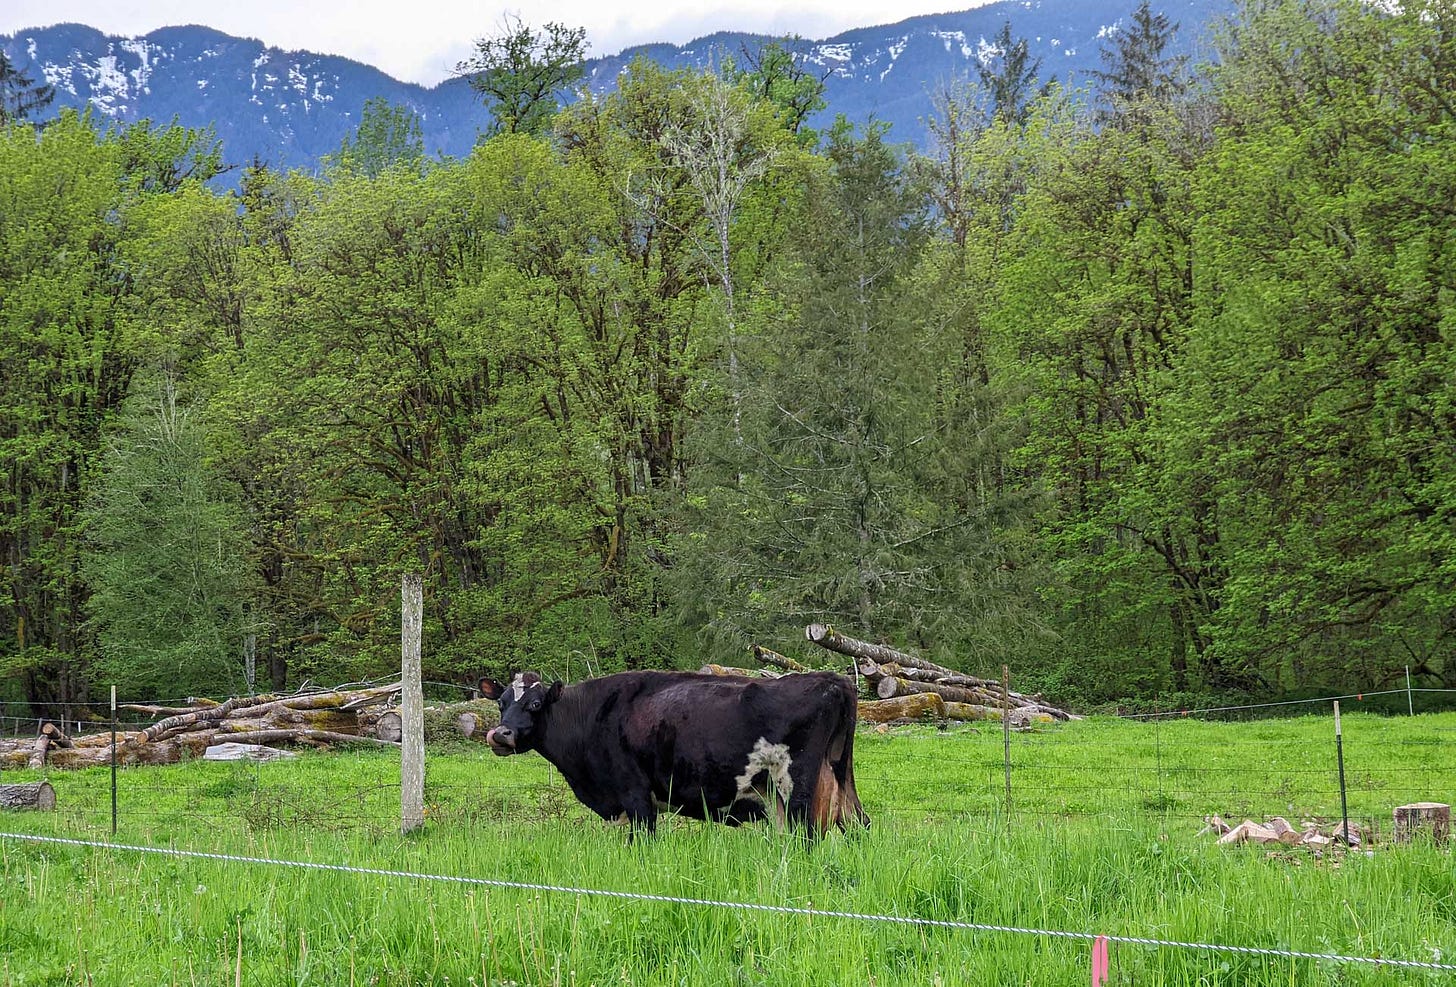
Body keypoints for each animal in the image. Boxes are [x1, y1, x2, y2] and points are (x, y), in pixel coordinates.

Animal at [480, 669, 861, 838]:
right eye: (500, 703)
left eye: (535, 704)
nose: (500, 734)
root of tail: (831, 679)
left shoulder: (635, 796)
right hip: (837, 783)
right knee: (858, 825)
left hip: (796, 788)